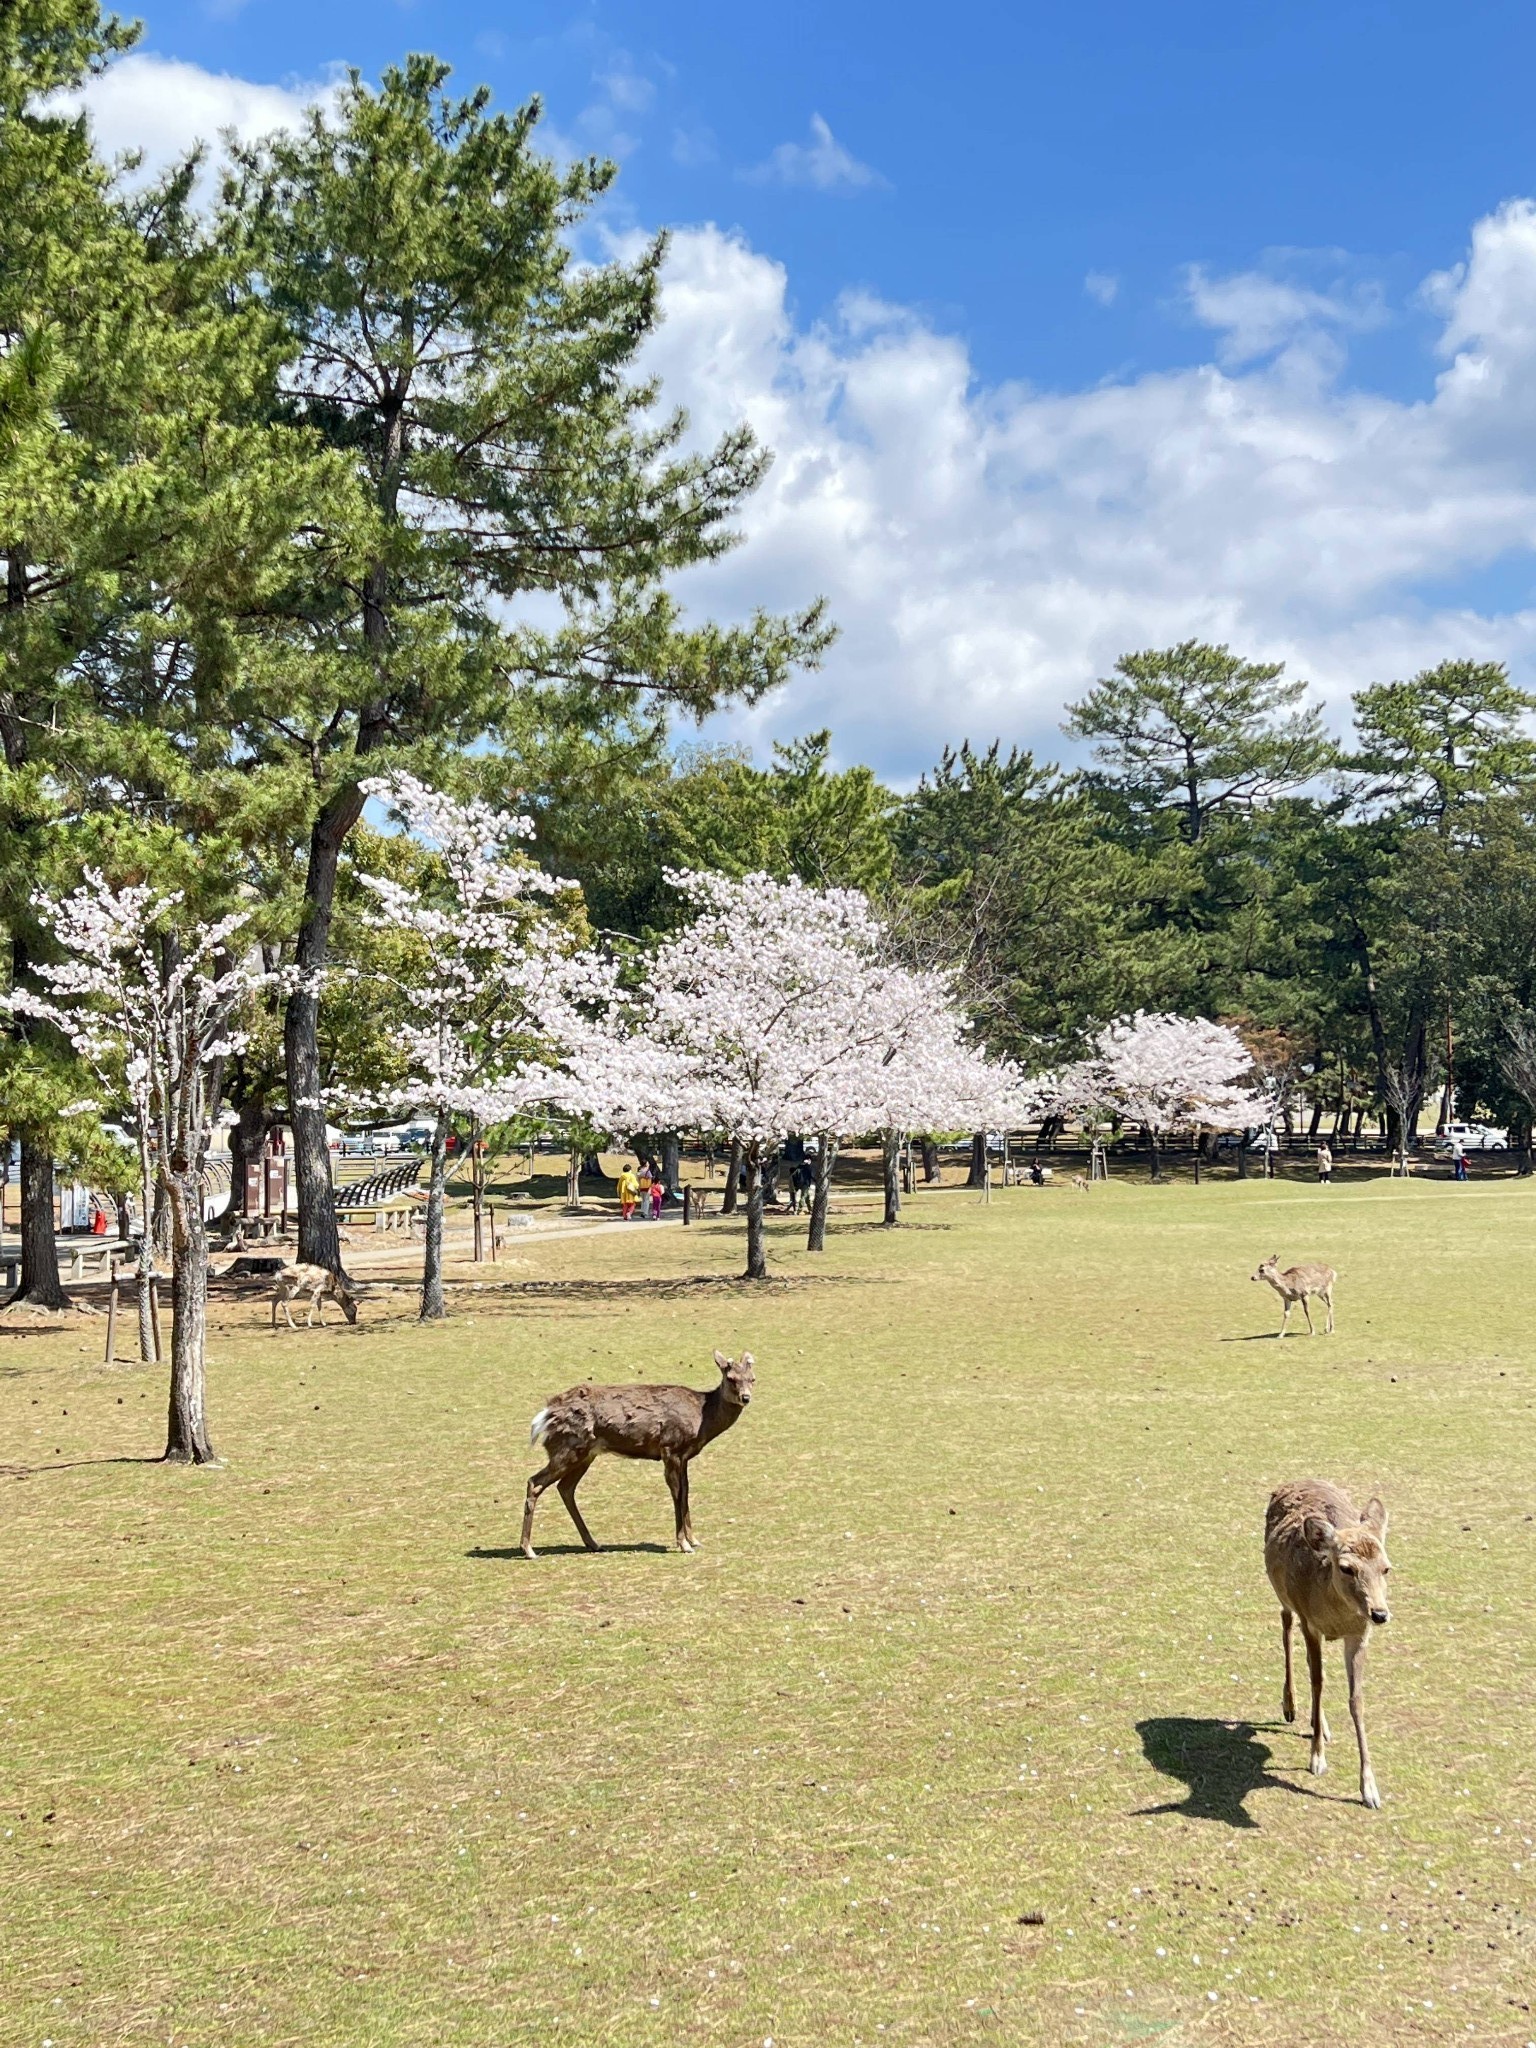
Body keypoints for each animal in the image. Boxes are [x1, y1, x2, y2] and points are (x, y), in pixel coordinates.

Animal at [520, 1351, 753, 1556]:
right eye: (730, 1378)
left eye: (752, 1379)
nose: (746, 1397)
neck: (702, 1420)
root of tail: (547, 1414)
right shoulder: (670, 1448)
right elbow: (677, 1494)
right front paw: (684, 1544)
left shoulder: (684, 1456)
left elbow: (686, 1492)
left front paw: (694, 1540)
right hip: (567, 1448)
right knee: (535, 1482)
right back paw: (529, 1549)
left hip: (584, 1454)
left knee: (565, 1488)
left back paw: (594, 1543)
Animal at [1261, 1490, 1392, 1810]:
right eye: (1346, 1568)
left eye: (1386, 1567)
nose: (1380, 1614)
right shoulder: (1310, 1623)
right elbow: (1318, 1683)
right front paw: (1317, 1759)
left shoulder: (1358, 1635)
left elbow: (1356, 1698)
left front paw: (1370, 1790)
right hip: (1284, 1597)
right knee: (1285, 1625)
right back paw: (1290, 1707)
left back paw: (1318, 1723)